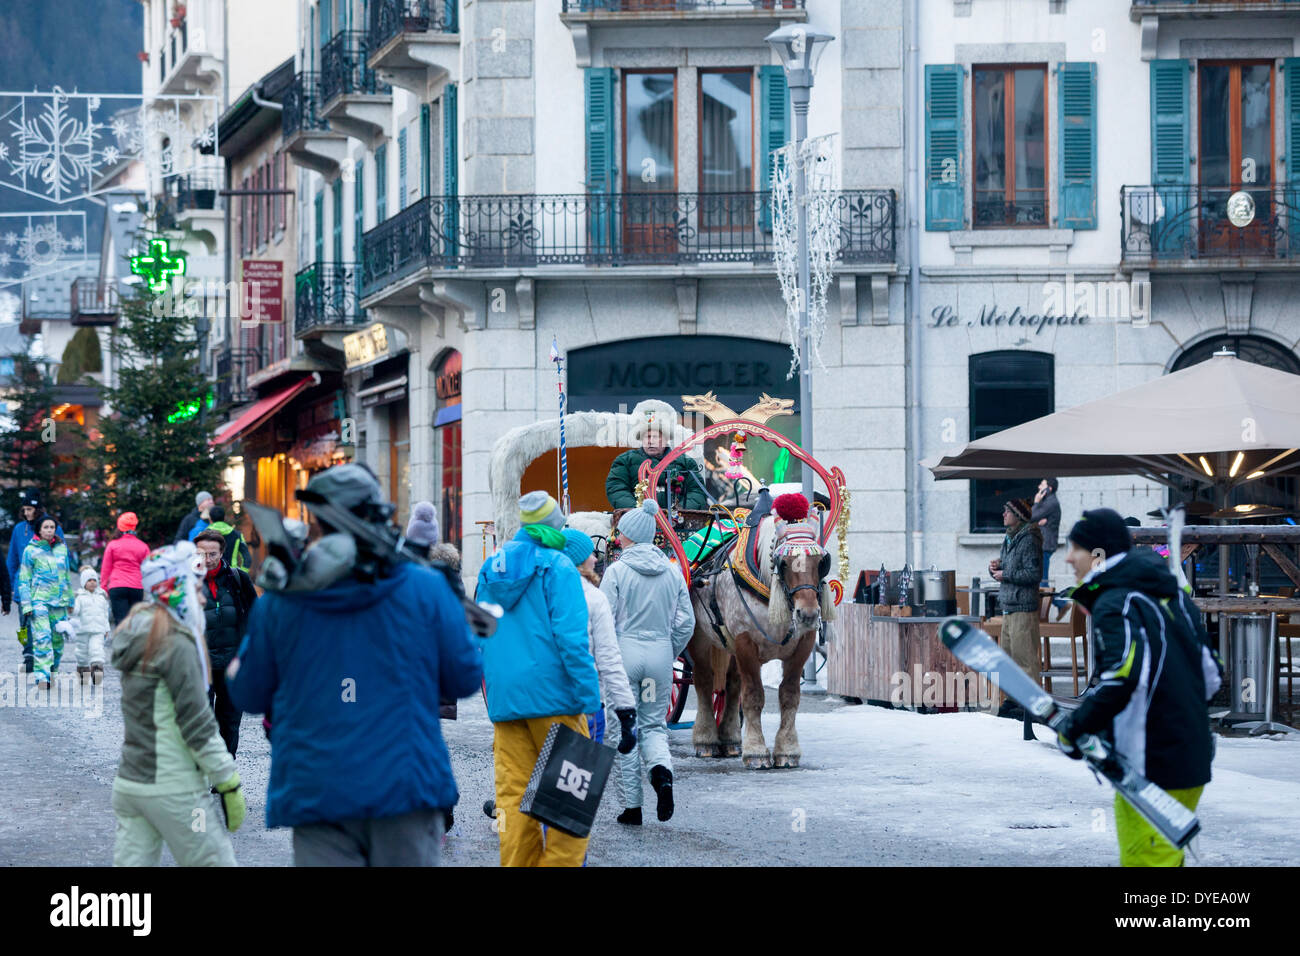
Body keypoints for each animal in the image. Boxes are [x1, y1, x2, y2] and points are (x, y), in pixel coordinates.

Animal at [691, 509, 832, 770]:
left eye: (821, 562)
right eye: (783, 562)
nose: (807, 614)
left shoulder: (803, 645)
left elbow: (789, 696)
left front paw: (787, 749)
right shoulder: (745, 641)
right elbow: (754, 696)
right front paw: (756, 751)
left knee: (733, 684)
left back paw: (731, 739)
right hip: (700, 638)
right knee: (704, 681)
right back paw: (705, 739)